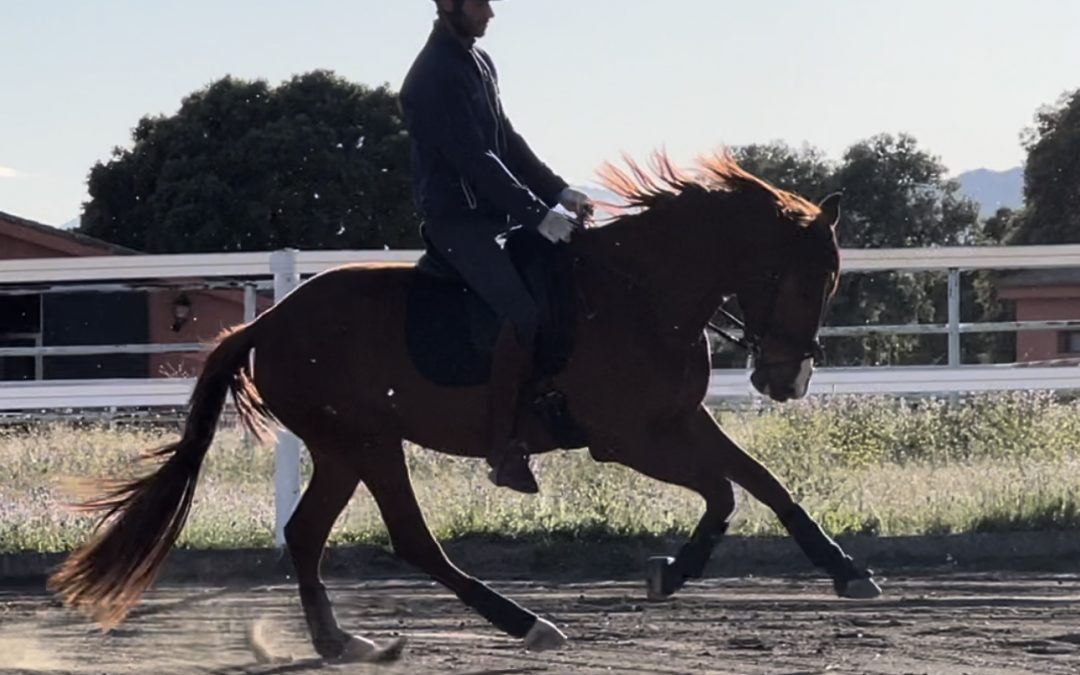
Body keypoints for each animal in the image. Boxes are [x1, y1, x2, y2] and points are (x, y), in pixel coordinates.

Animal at [49, 152, 881, 662]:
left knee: (306, 532)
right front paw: (673, 571)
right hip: (368, 441)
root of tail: (266, 322)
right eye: (809, 280)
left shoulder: (677, 420)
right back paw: (526, 622)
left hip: (342, 448)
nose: (788, 380)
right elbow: (725, 491)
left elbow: (761, 483)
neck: (643, 294)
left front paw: (843, 571)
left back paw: (340, 642)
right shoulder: (627, 437)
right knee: (412, 541)